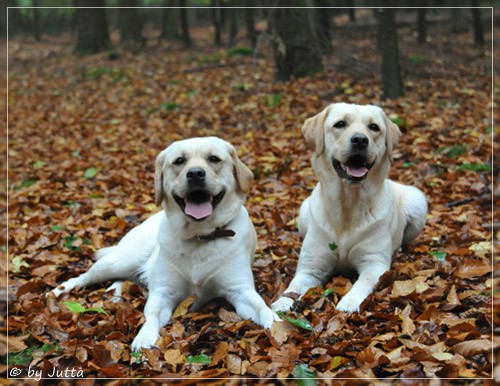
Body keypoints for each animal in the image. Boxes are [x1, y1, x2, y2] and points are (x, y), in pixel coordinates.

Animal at [51, 137, 278, 352]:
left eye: (214, 159)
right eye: (179, 161)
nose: (195, 174)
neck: (200, 235)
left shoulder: (239, 289)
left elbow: (261, 306)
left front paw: (276, 323)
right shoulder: (163, 291)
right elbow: (151, 314)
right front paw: (144, 337)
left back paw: (114, 293)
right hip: (119, 261)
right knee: (80, 278)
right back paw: (55, 293)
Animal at [272, 102, 428, 314]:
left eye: (374, 127)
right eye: (340, 124)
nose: (360, 140)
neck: (348, 204)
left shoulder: (374, 263)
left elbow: (363, 282)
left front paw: (349, 302)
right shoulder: (311, 267)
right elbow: (293, 286)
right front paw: (281, 302)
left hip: (417, 200)